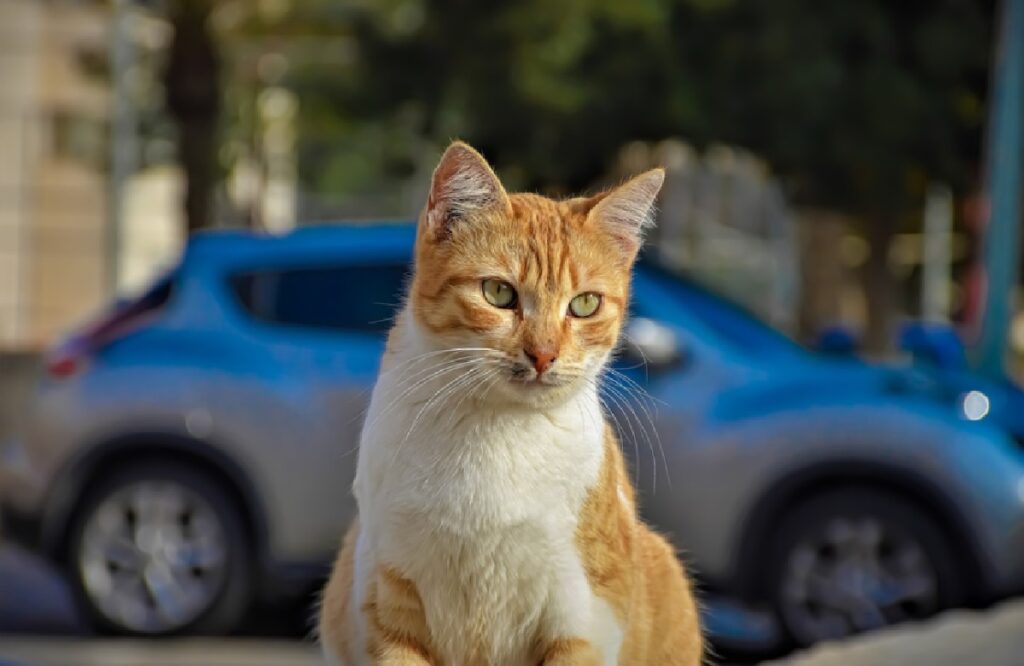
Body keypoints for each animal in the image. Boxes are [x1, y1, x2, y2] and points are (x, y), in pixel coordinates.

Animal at [319, 141, 704, 663]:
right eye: (498, 293)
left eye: (584, 304)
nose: (543, 354)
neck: (496, 432)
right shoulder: (389, 602)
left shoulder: (580, 617)